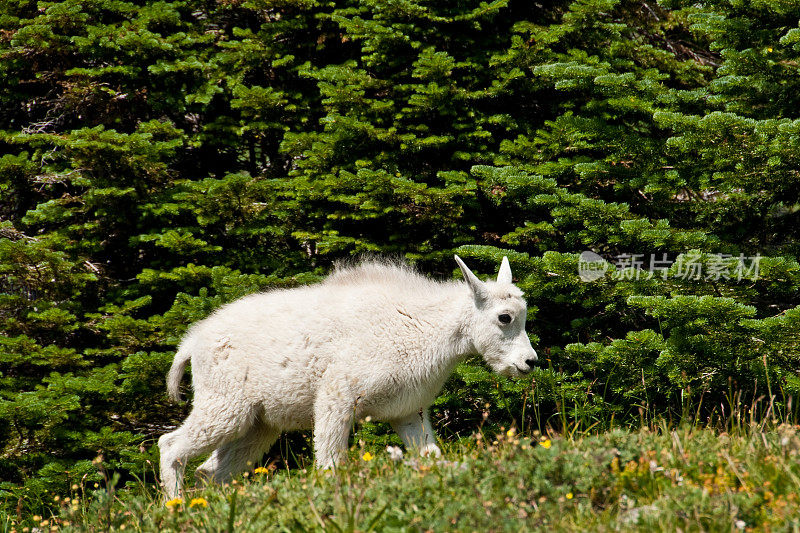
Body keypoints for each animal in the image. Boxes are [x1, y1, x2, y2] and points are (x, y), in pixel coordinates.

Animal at [158, 256, 536, 496]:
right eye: (504, 317)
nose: (530, 362)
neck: (424, 327)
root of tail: (193, 342)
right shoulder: (337, 396)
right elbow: (329, 463)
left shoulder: (407, 413)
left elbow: (432, 456)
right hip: (225, 405)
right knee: (170, 445)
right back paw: (177, 506)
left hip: (258, 423)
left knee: (211, 471)